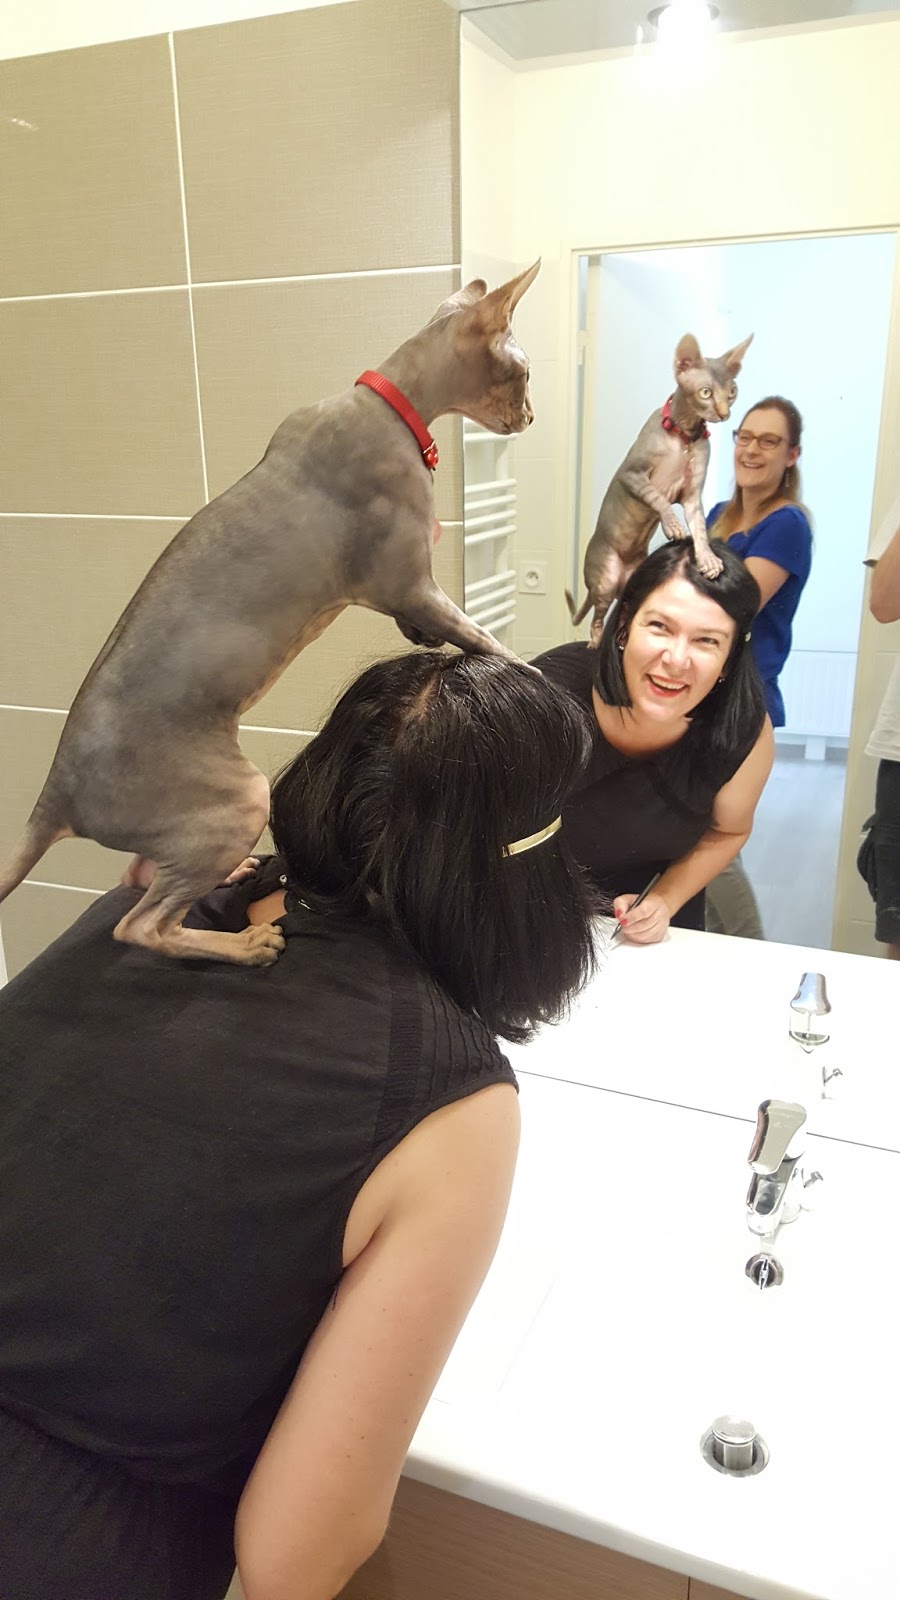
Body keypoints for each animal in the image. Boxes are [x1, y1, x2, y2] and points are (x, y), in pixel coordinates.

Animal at [567, 332, 753, 644]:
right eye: (705, 392)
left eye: (732, 392)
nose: (724, 413)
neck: (685, 436)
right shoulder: (631, 475)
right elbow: (658, 498)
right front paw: (673, 526)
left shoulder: (692, 496)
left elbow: (699, 528)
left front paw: (707, 558)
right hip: (605, 577)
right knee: (596, 617)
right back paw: (594, 643)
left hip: (629, 582)